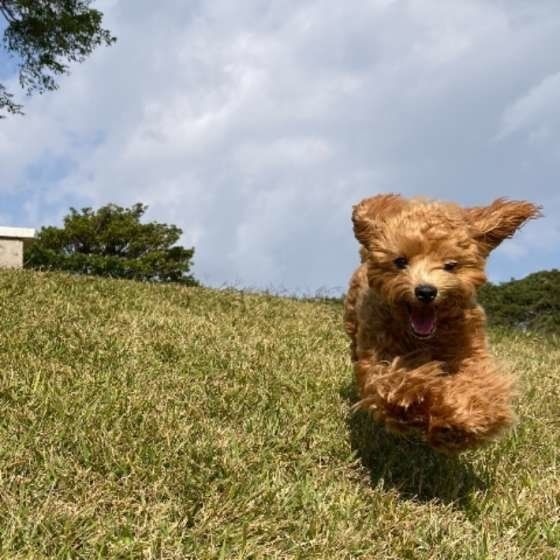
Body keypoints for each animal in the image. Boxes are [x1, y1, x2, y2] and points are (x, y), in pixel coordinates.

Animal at [344, 195, 540, 452]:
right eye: (400, 261)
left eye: (450, 265)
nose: (426, 291)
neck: (426, 338)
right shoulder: (379, 352)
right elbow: (395, 382)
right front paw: (420, 399)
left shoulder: (470, 350)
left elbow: (479, 384)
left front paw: (459, 419)